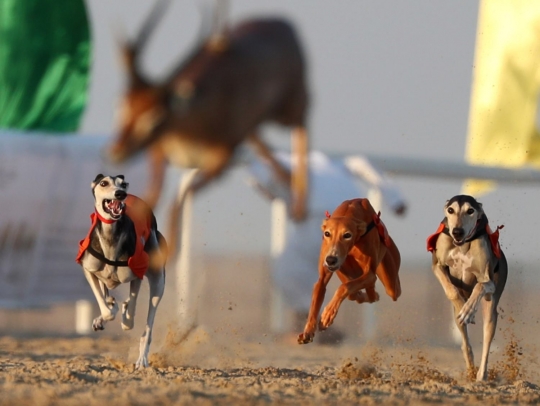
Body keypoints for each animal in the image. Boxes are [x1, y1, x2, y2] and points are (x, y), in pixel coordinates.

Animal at [76, 173, 167, 370]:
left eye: (123, 184)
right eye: (103, 183)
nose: (120, 194)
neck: (111, 237)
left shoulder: (136, 275)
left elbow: (129, 317)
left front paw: (125, 316)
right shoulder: (89, 270)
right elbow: (107, 309)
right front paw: (108, 311)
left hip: (158, 282)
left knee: (148, 325)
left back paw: (142, 360)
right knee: (108, 298)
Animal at [108, 0, 308, 254]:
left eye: (155, 117)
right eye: (123, 106)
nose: (116, 151)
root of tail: (282, 23)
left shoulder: (219, 164)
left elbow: (180, 197)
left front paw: (168, 252)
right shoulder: (160, 153)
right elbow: (150, 199)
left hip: (291, 109)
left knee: (302, 127)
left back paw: (302, 210)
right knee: (262, 143)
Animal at [296, 198, 400, 344]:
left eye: (347, 235)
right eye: (327, 233)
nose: (331, 260)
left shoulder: (370, 274)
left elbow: (344, 287)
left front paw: (327, 315)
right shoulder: (325, 275)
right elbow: (318, 296)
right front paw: (308, 331)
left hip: (391, 283)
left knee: (385, 291)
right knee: (359, 293)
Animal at [426, 195, 506, 382]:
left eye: (470, 210)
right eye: (450, 210)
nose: (457, 232)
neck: (462, 244)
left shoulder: (488, 280)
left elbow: (480, 285)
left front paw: (469, 309)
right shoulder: (437, 265)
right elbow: (451, 291)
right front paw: (464, 307)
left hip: (491, 309)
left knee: (486, 341)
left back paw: (480, 376)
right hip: (458, 319)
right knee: (465, 341)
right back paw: (470, 368)